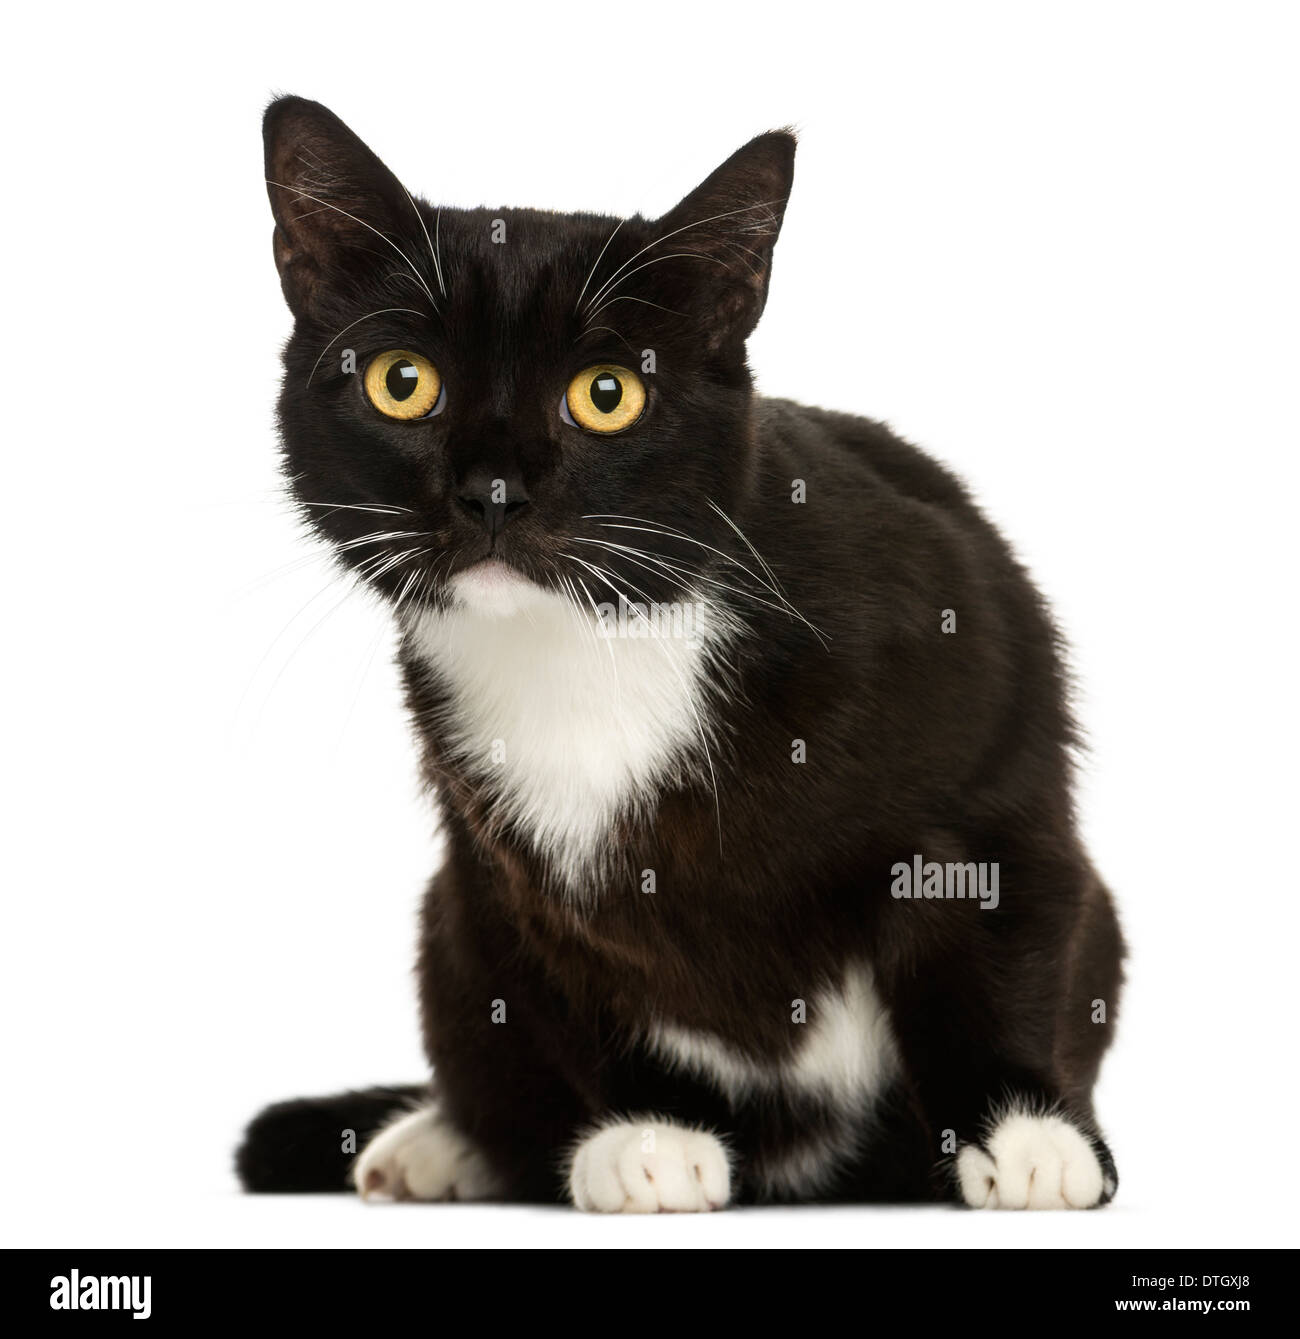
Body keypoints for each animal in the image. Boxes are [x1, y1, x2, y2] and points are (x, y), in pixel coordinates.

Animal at [238, 97, 1124, 1215]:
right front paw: (649, 1131)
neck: (598, 646)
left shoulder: (989, 713)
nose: (492, 492)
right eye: (405, 384)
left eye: (607, 394)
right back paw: (443, 1142)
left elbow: (1003, 926)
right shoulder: (505, 870)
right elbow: (581, 978)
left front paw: (1027, 1132)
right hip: (451, 916)